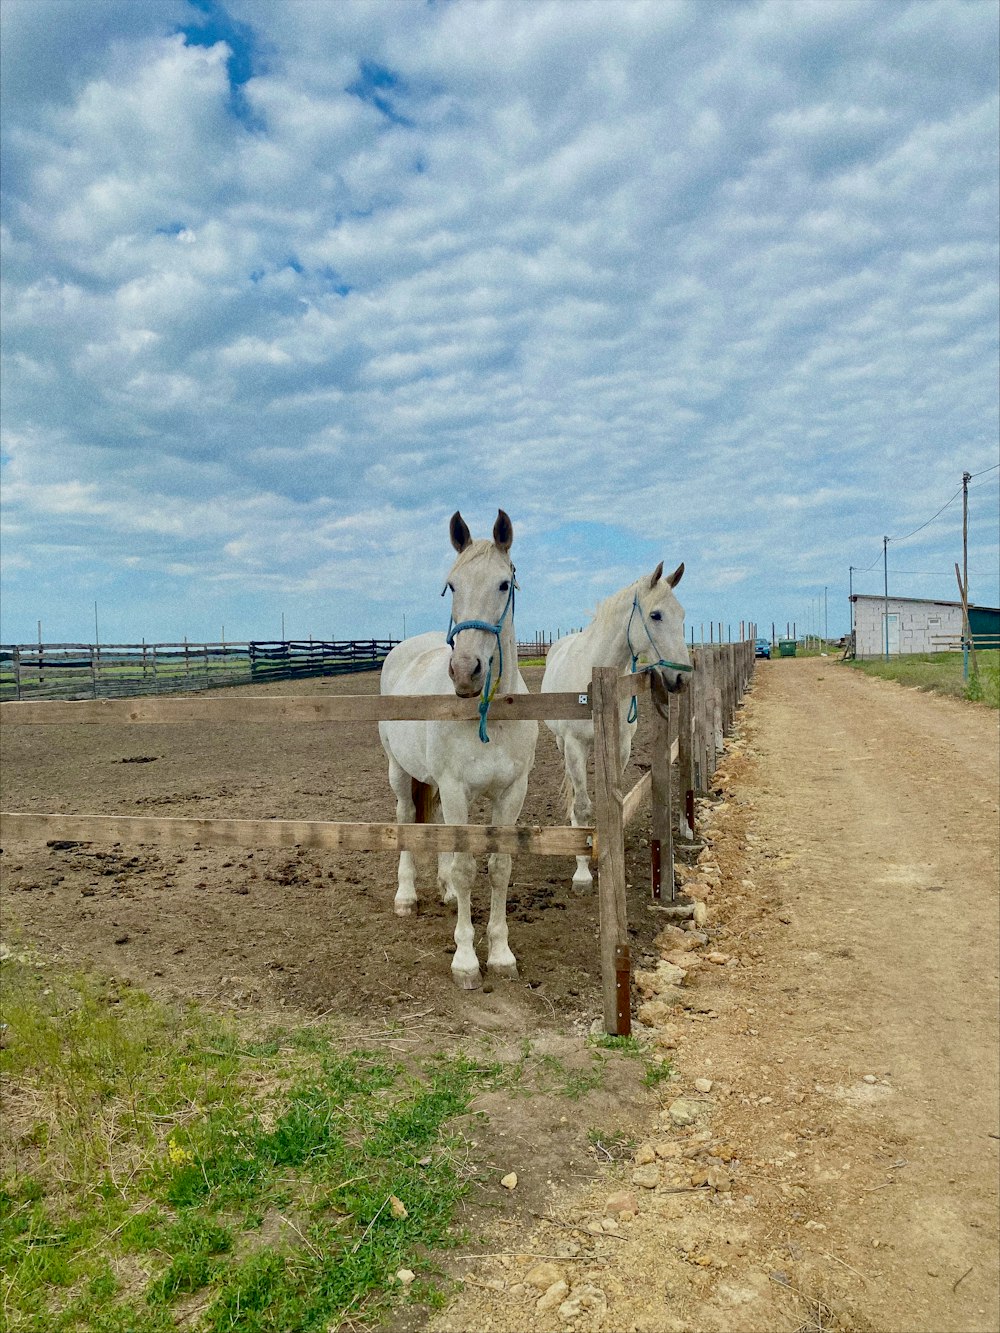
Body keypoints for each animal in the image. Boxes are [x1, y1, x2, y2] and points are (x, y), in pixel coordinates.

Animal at [378, 509, 541, 991]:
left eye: (504, 584)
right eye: (452, 585)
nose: (466, 671)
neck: (489, 716)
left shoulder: (512, 793)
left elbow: (499, 867)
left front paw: (502, 955)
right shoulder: (455, 790)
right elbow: (469, 869)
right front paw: (467, 961)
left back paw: (445, 890)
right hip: (399, 773)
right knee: (407, 820)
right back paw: (407, 896)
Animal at [541, 557, 688, 890]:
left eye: (682, 615)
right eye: (656, 615)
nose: (682, 677)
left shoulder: (621, 745)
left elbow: (616, 802)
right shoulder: (574, 746)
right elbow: (582, 805)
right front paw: (582, 870)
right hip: (562, 744)